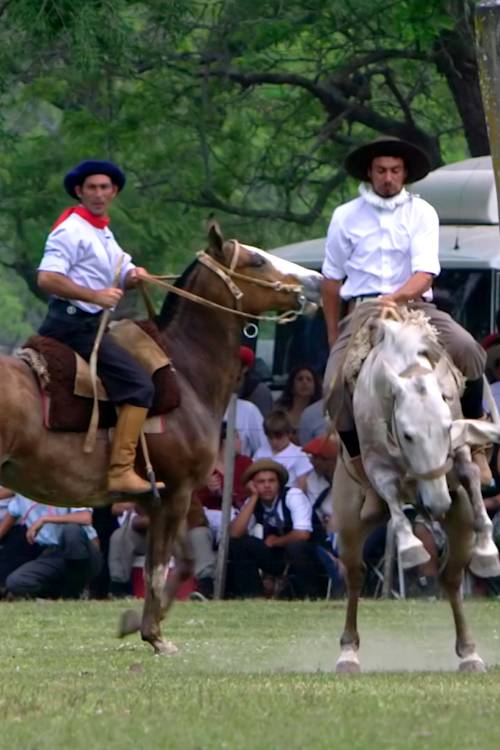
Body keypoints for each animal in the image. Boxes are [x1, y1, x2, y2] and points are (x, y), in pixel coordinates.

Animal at [0, 222, 322, 652]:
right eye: (256, 260)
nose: (316, 282)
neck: (185, 373)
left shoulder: (159, 499)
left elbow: (181, 564)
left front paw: (134, 623)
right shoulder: (178, 493)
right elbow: (158, 567)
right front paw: (154, 635)